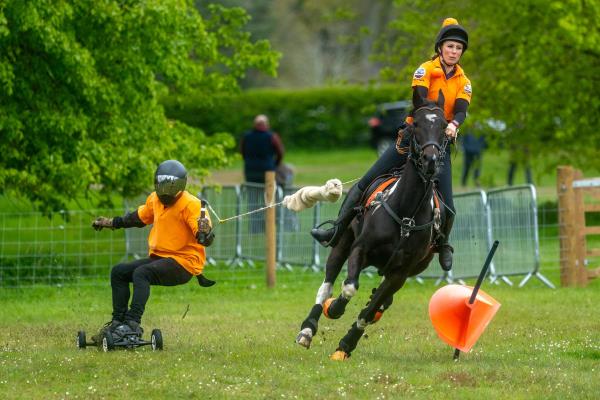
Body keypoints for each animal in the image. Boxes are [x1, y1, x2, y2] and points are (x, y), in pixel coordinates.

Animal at [296, 97, 450, 360]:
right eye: (416, 124)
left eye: (443, 126)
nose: (430, 161)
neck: (406, 215)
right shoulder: (360, 249)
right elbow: (349, 288)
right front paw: (334, 307)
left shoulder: (400, 274)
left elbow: (370, 310)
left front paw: (346, 345)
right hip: (342, 243)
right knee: (328, 281)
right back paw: (308, 328)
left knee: (382, 301)